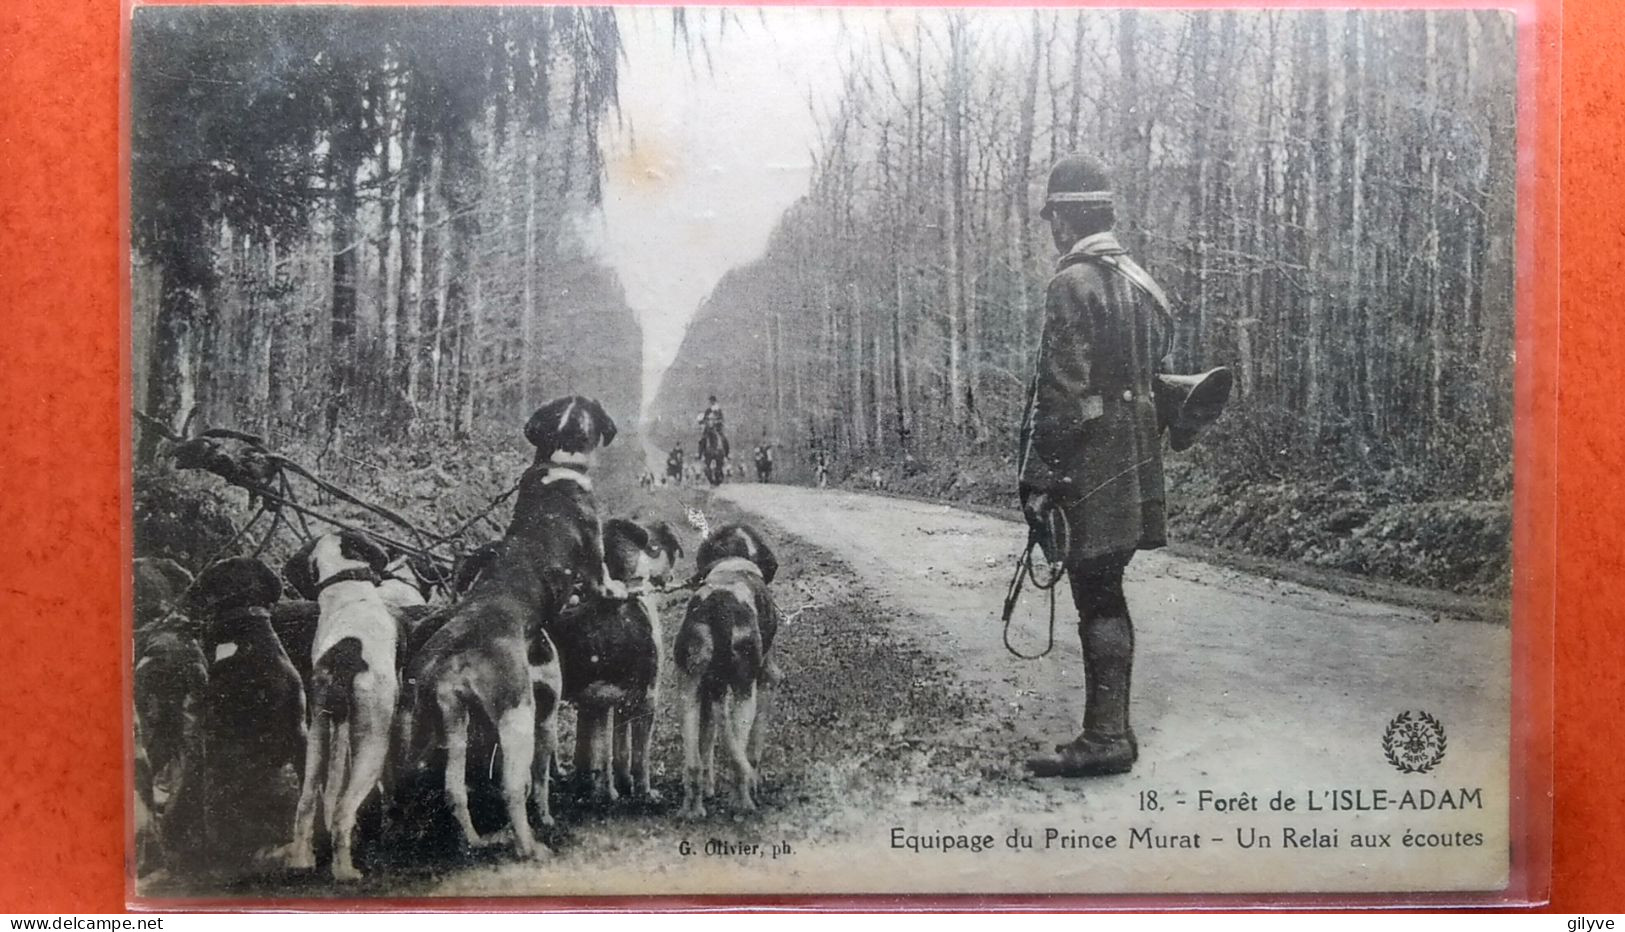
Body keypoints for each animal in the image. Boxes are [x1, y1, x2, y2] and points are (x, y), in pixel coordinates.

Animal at [276, 532, 396, 883]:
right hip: (372, 744)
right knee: (343, 811)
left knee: (305, 805)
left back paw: (301, 862)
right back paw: (346, 872)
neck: (345, 586)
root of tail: (342, 663)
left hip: (316, 736)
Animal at [398, 394, 614, 863]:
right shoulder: (594, 559)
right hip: (517, 713)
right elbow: (604, 581)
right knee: (512, 789)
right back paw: (530, 846)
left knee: (454, 789)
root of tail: (453, 650)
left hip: (450, 723)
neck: (557, 458)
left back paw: (475, 841)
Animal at [562, 519, 682, 805]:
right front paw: (643, 793)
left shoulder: (609, 702)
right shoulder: (645, 699)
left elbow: (614, 752)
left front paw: (611, 787)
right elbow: (638, 758)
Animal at [669, 526, 776, 818]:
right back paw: (744, 803)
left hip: (688, 695)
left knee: (693, 763)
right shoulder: (765, 684)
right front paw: (754, 784)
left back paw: (693, 809)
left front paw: (708, 789)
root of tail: (719, 604)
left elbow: (707, 743)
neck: (732, 563)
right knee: (738, 758)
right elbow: (753, 751)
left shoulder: (707, 693)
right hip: (744, 696)